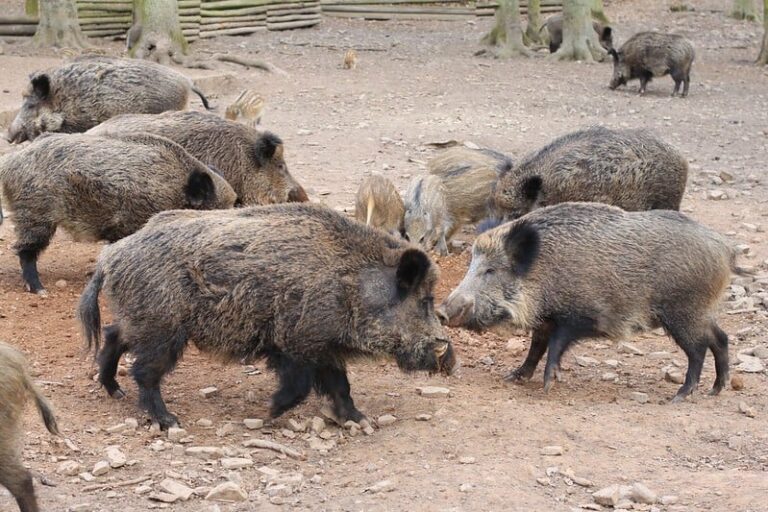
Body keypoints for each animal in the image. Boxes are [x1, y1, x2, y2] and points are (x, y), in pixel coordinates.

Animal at [78, 203, 456, 429]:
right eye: (423, 300)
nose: (448, 355)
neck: (351, 285)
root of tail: (110, 257)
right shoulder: (295, 341)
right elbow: (301, 385)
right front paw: (270, 413)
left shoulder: (323, 346)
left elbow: (341, 384)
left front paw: (359, 421)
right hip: (163, 327)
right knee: (144, 371)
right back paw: (168, 420)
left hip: (141, 319)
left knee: (113, 336)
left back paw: (115, 392)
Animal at [440, 202, 747, 402]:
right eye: (470, 266)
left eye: (490, 270)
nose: (443, 311)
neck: (542, 272)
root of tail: (726, 250)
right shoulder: (546, 320)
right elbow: (535, 349)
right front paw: (513, 377)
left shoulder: (580, 317)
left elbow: (554, 347)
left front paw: (549, 384)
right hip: (700, 312)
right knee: (720, 338)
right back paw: (716, 390)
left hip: (683, 312)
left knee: (698, 349)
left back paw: (680, 396)